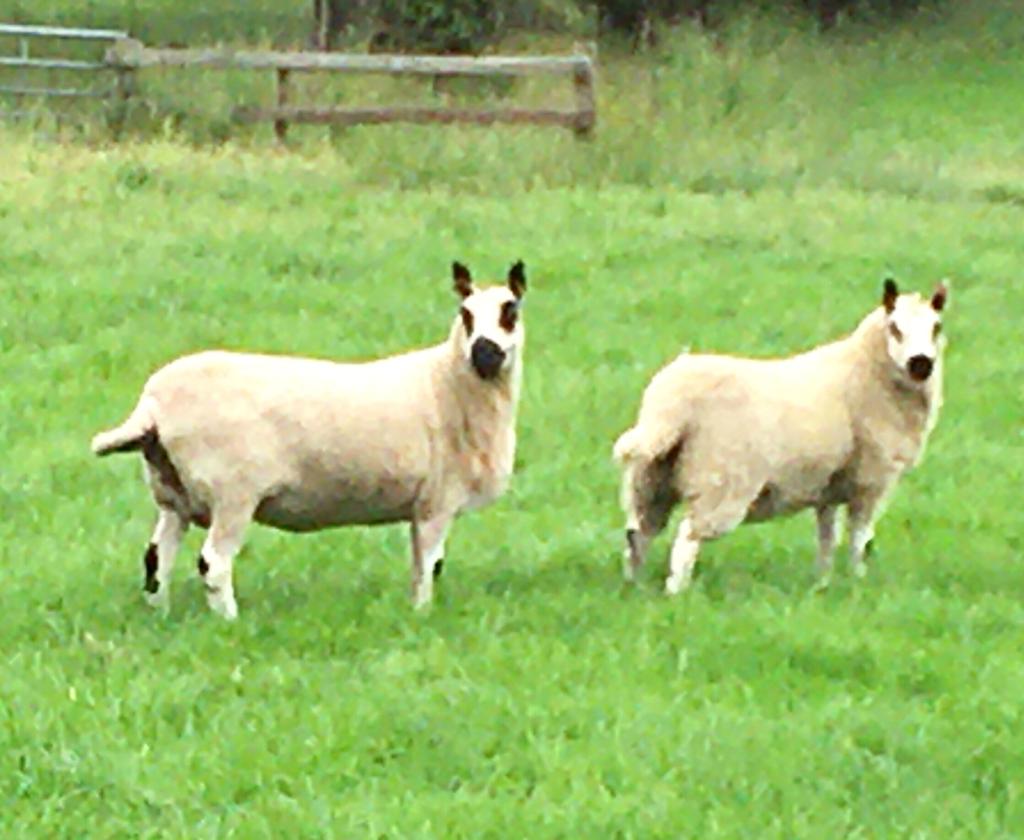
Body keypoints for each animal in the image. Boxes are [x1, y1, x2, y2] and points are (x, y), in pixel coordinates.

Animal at [91, 260, 528, 619]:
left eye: (511, 311)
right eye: (465, 314)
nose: (484, 354)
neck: (447, 381)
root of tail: (153, 404)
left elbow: (419, 564)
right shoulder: (437, 501)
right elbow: (430, 566)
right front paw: (422, 614)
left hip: (172, 494)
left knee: (156, 560)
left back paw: (160, 615)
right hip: (231, 492)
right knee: (213, 562)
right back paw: (229, 621)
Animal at [613, 277, 950, 594]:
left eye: (937, 327)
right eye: (895, 328)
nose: (921, 363)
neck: (867, 370)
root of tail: (672, 402)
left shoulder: (828, 487)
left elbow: (827, 537)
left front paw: (823, 581)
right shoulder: (871, 480)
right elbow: (859, 539)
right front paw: (858, 580)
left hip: (650, 477)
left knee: (638, 533)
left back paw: (634, 585)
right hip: (719, 479)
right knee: (687, 538)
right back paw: (675, 593)